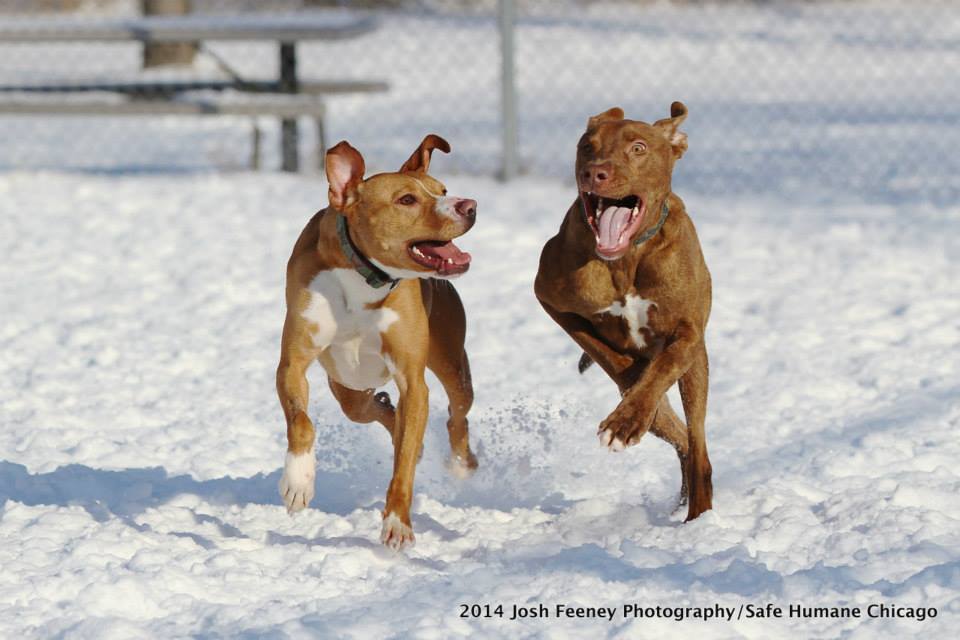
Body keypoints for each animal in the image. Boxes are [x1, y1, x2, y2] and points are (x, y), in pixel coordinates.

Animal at [280, 136, 478, 552]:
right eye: (406, 199)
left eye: (443, 191)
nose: (469, 206)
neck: (364, 277)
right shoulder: (294, 362)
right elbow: (301, 421)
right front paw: (298, 481)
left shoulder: (413, 380)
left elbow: (402, 464)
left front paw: (397, 523)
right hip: (347, 385)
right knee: (371, 409)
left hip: (453, 364)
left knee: (457, 414)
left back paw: (461, 463)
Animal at [532, 104, 712, 520]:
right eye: (587, 146)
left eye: (638, 148)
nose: (594, 172)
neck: (627, 257)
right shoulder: (551, 298)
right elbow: (609, 356)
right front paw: (631, 404)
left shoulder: (688, 331)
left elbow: (664, 366)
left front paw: (628, 419)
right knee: (679, 436)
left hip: (698, 369)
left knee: (697, 442)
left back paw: (700, 514)